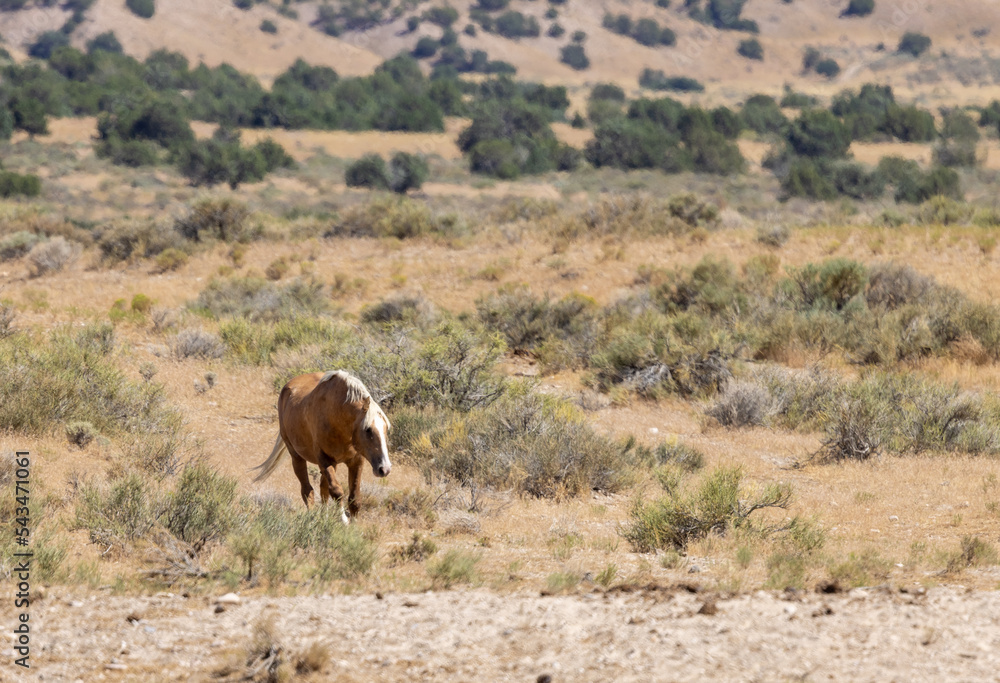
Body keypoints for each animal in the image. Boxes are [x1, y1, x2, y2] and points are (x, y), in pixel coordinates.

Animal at [251, 370, 391, 523]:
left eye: (386, 429)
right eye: (368, 430)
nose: (384, 469)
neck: (336, 416)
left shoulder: (356, 461)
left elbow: (354, 499)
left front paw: (354, 524)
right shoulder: (324, 460)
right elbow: (336, 491)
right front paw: (343, 520)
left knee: (322, 488)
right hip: (297, 456)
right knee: (307, 490)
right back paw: (312, 517)